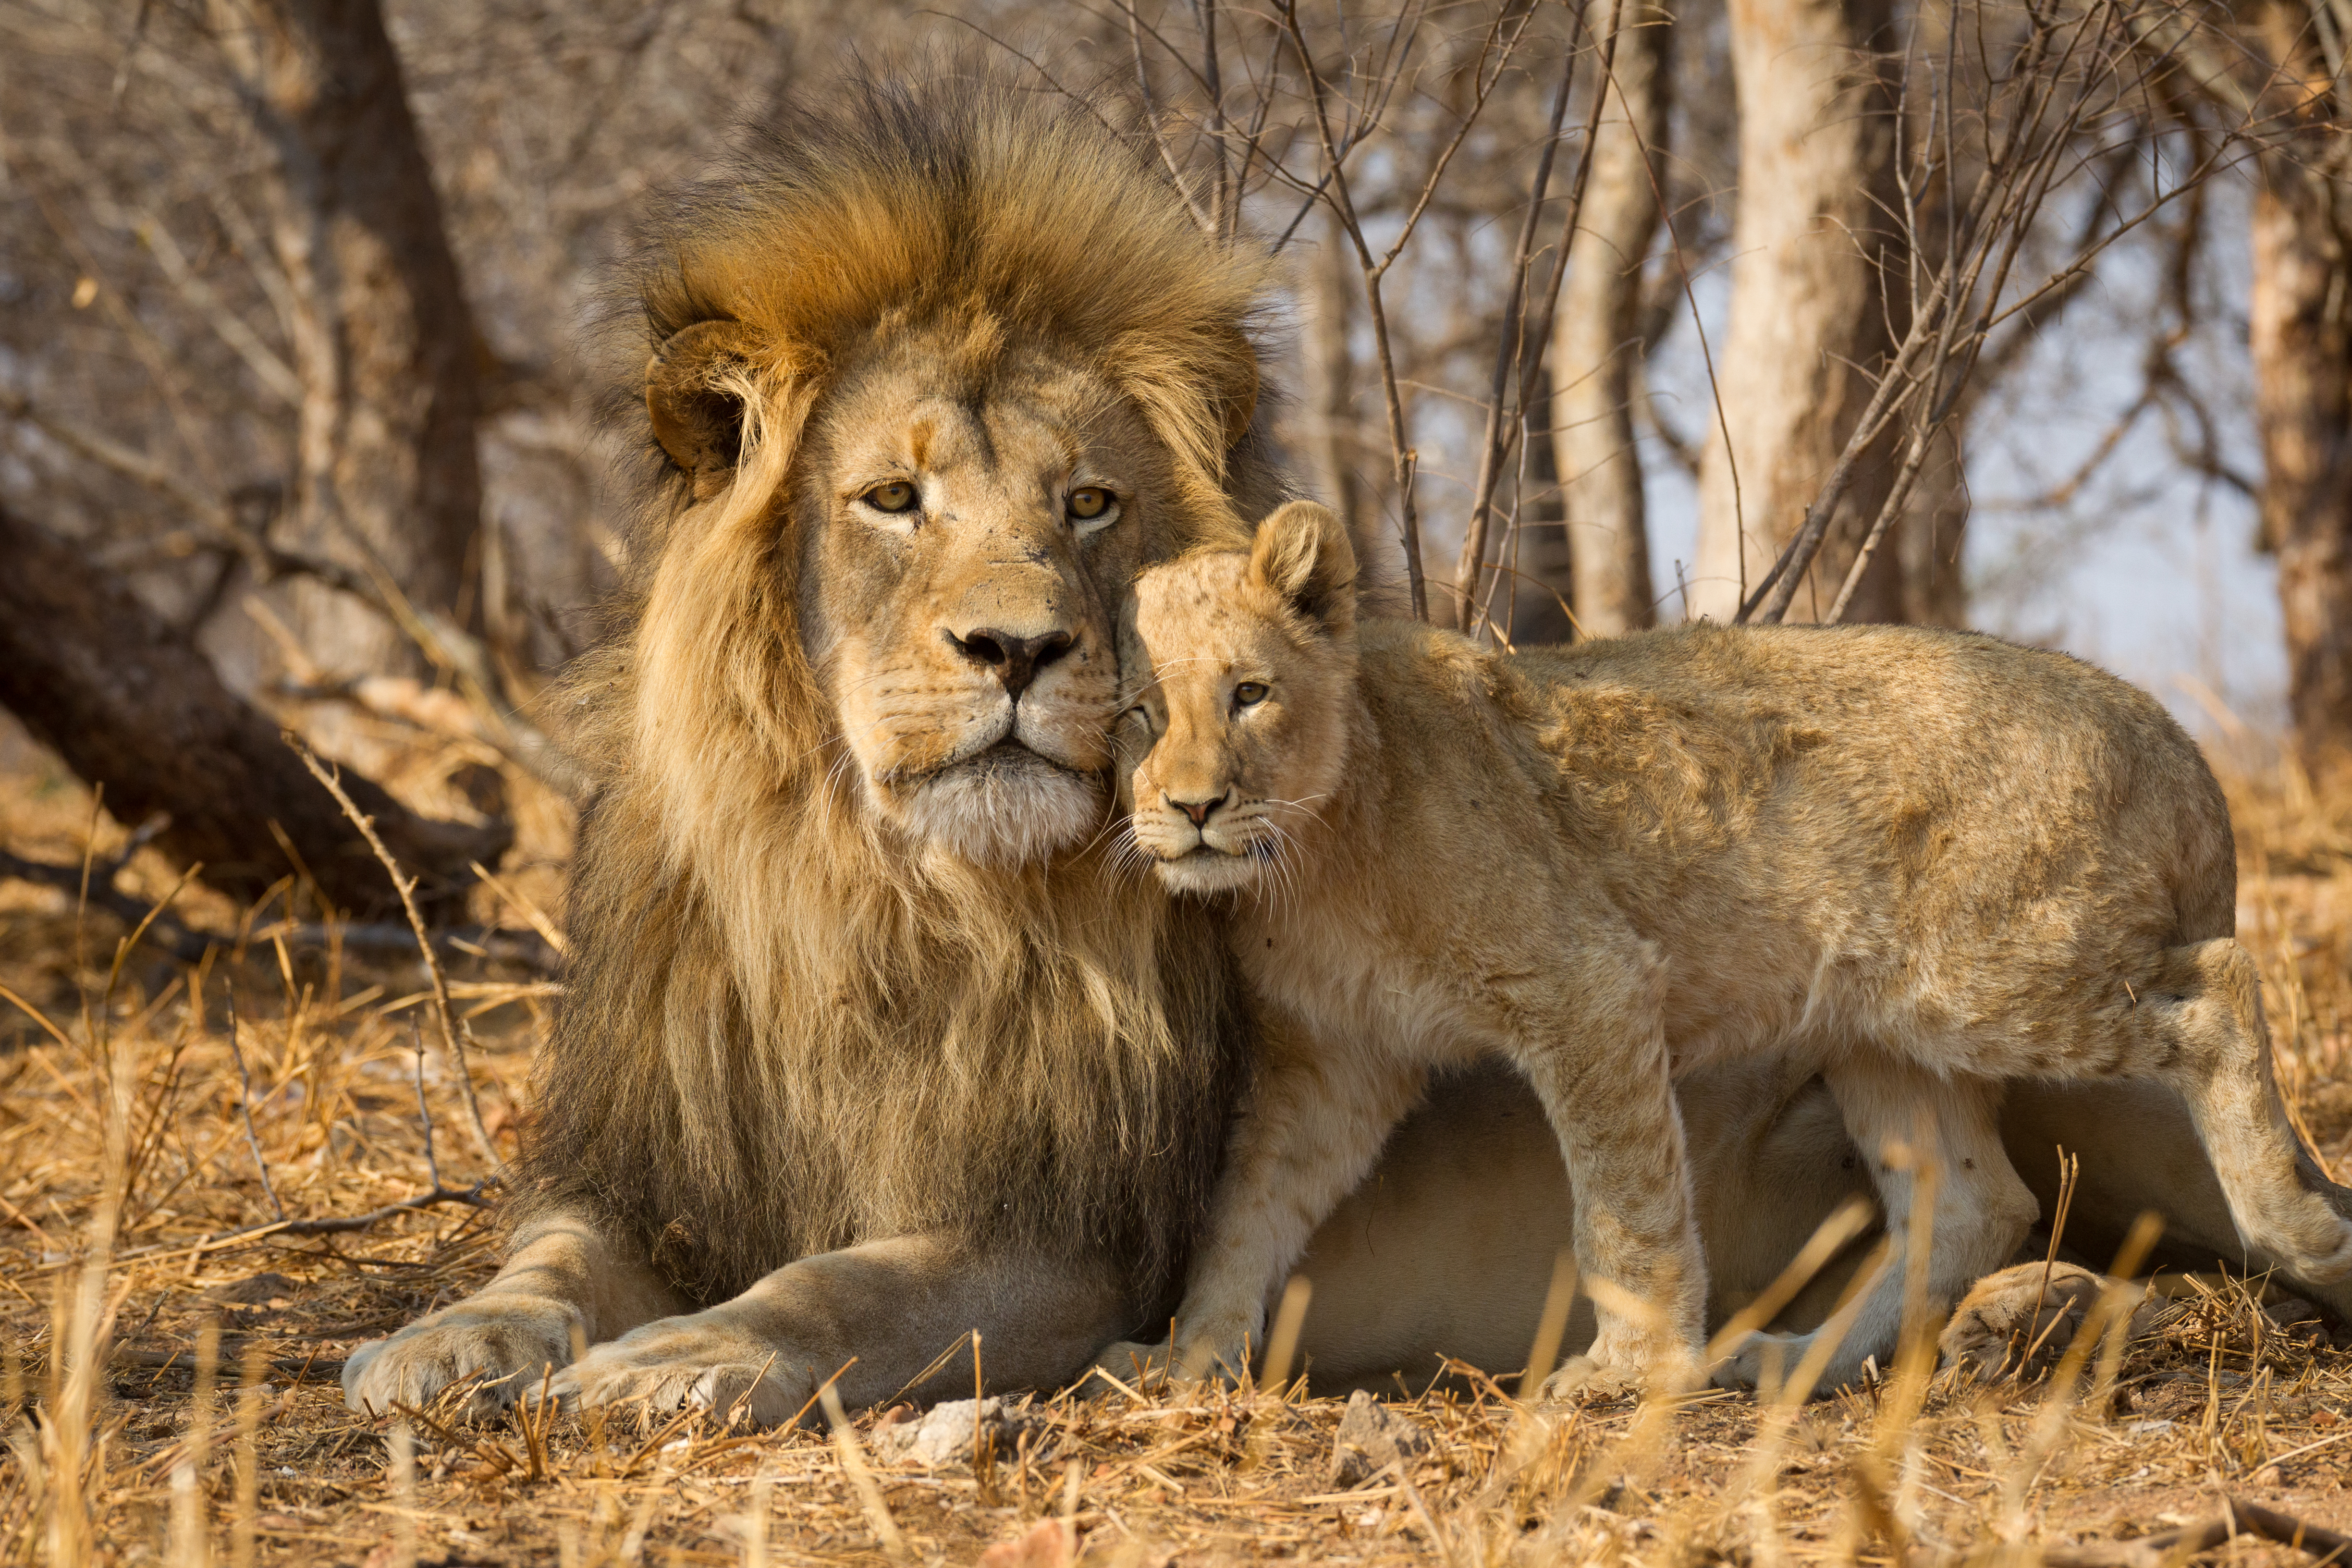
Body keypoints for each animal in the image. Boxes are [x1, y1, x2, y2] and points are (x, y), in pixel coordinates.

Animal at [1103, 500, 2352, 1396]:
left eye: (1249, 693)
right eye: (1135, 716)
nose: (1193, 807)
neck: (1308, 862)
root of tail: (2175, 741)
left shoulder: (1587, 985)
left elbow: (1623, 1202)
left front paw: (1629, 1372)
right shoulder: (1332, 1060)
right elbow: (1244, 1212)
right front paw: (1188, 1357)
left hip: (1990, 971)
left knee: (2221, 988)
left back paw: (2299, 1221)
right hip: (1883, 1026)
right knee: (1972, 1203)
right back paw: (1792, 1363)